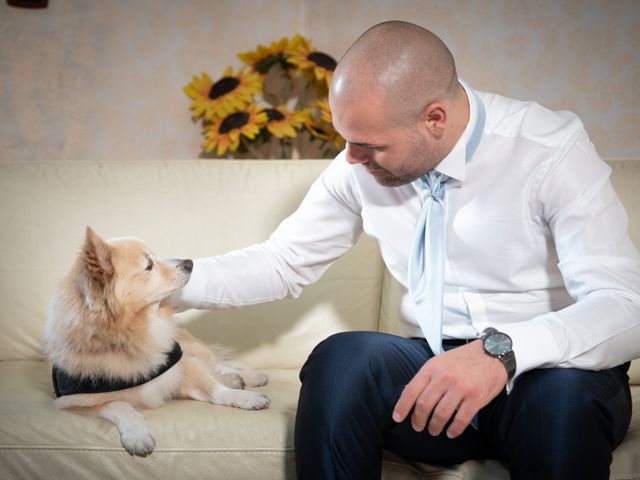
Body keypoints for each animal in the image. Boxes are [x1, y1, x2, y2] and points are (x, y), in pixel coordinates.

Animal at [42, 227, 268, 456]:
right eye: (149, 265)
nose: (189, 263)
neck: (135, 334)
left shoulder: (180, 366)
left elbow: (215, 389)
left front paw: (245, 398)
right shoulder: (72, 402)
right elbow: (119, 405)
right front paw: (137, 435)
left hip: (193, 348)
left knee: (216, 364)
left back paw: (247, 377)